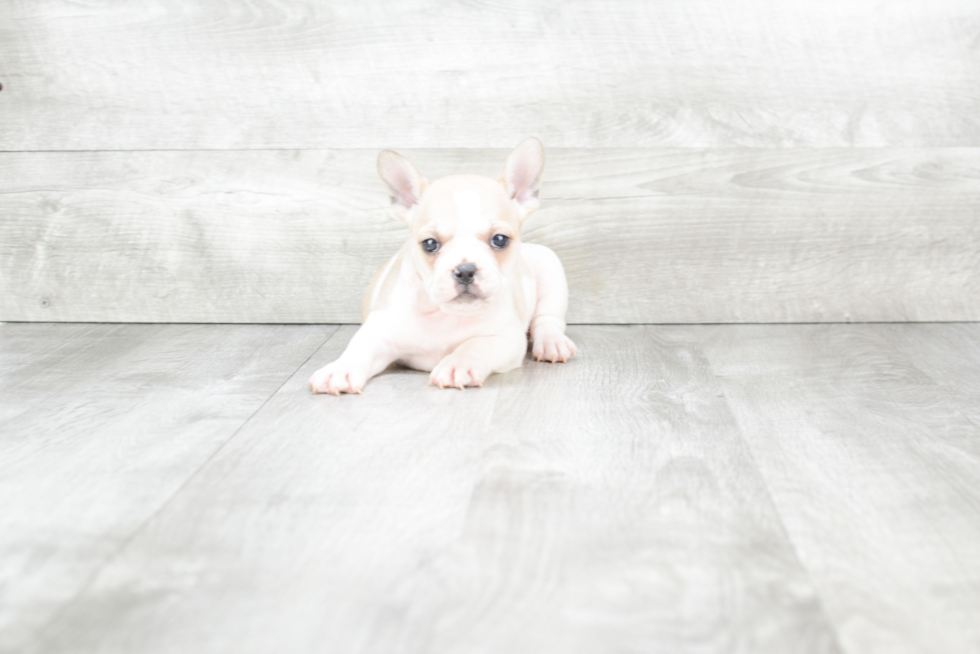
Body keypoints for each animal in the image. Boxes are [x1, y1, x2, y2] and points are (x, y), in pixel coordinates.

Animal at [310, 138, 580, 394]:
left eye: (500, 239)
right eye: (429, 244)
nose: (466, 270)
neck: (445, 314)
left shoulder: (506, 338)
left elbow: (476, 344)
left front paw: (457, 364)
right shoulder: (379, 331)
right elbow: (359, 348)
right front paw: (339, 370)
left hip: (549, 266)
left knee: (548, 320)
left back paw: (552, 343)